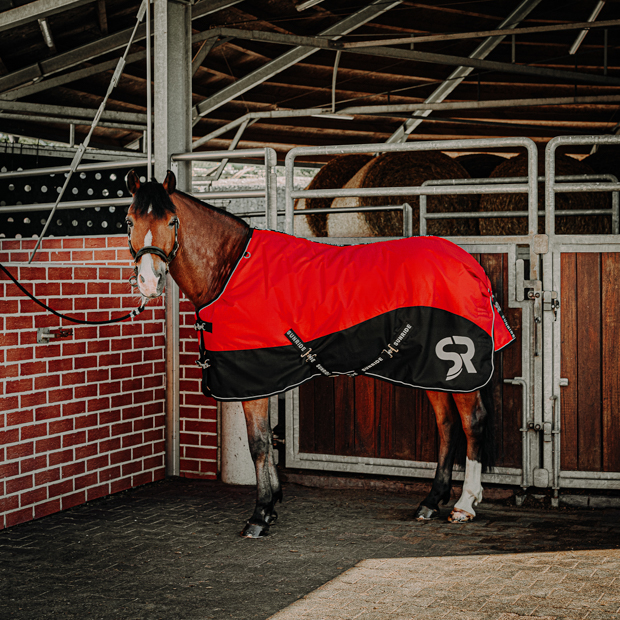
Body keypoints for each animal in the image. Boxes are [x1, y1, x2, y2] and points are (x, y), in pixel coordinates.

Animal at [123, 170, 512, 536]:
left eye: (171, 221)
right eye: (128, 221)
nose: (148, 282)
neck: (233, 269)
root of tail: (470, 264)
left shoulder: (254, 379)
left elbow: (258, 444)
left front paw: (260, 515)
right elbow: (265, 443)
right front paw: (272, 504)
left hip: (456, 366)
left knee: (472, 422)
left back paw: (464, 504)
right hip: (429, 369)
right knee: (447, 426)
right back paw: (431, 502)